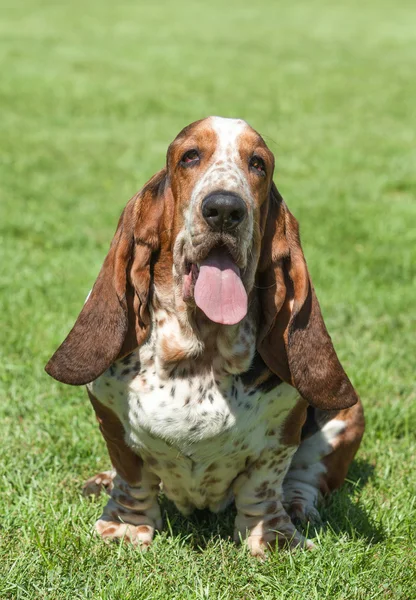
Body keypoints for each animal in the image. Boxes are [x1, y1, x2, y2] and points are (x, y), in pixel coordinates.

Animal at [46, 117, 364, 556]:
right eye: (189, 156)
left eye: (258, 164)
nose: (225, 209)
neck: (198, 357)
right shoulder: (109, 418)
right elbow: (132, 477)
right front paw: (126, 528)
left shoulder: (283, 434)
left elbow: (264, 486)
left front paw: (274, 540)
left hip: (350, 415)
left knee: (306, 477)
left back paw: (298, 505)